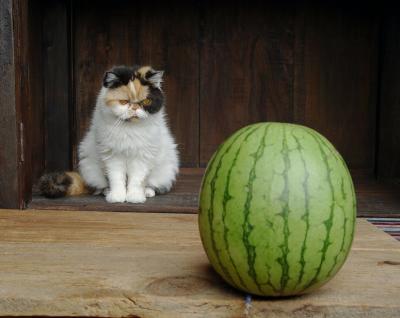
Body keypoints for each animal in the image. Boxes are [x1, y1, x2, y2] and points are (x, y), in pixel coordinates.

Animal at [39, 65, 180, 204]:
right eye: (124, 102)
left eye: (145, 102)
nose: (134, 108)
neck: (129, 129)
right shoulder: (112, 156)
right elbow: (116, 179)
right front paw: (117, 197)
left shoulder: (142, 157)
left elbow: (136, 180)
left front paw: (135, 197)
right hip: (89, 167)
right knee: (100, 187)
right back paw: (107, 191)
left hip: (166, 168)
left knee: (152, 184)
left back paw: (147, 192)